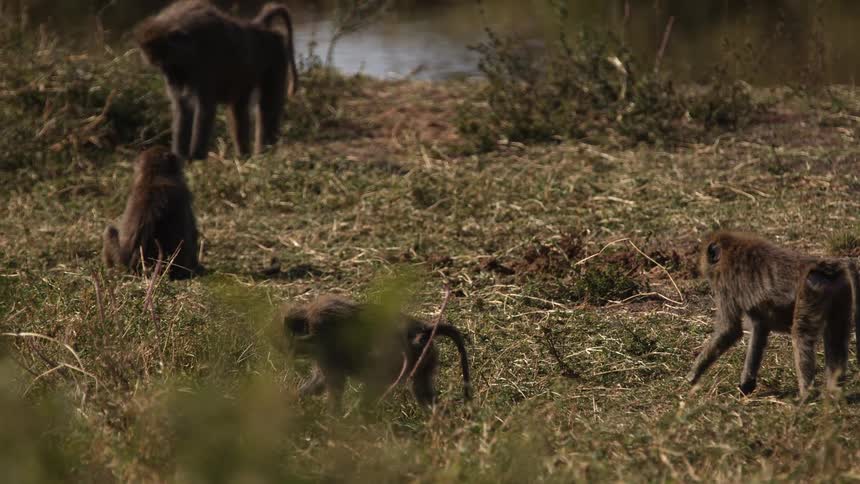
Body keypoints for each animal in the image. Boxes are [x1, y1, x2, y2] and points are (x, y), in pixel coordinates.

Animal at [135, 0, 299, 161]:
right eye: (161, 68)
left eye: (167, 64)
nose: (170, 79)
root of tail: (259, 28)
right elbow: (182, 107)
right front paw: (179, 155)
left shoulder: (206, 65)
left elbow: (204, 108)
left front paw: (196, 158)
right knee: (239, 109)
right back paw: (244, 155)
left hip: (275, 56)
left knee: (267, 106)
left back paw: (264, 153)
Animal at [280, 295, 472, 411]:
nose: (287, 353)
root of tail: (423, 330)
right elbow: (319, 383)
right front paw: (290, 399)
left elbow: (334, 385)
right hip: (423, 360)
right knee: (422, 391)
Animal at [688, 230, 860, 400]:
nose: (698, 266)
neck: (730, 251)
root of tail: (823, 266)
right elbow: (759, 329)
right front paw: (746, 385)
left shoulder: (724, 288)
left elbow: (729, 330)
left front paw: (693, 374)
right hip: (841, 292)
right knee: (836, 336)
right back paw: (834, 391)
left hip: (810, 291)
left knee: (801, 335)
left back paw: (806, 396)